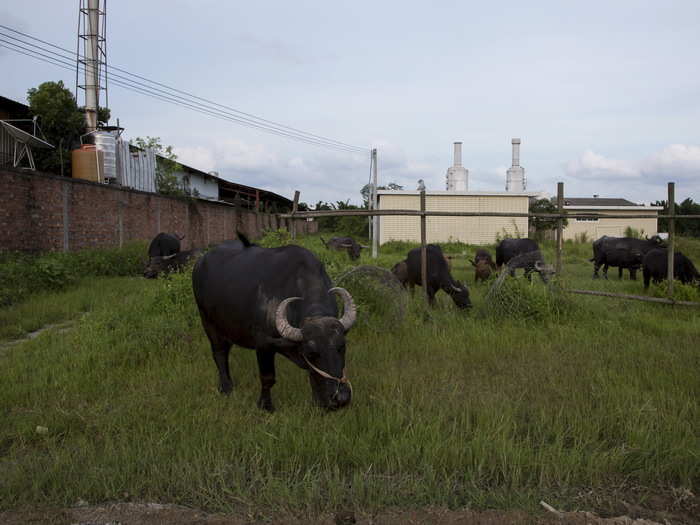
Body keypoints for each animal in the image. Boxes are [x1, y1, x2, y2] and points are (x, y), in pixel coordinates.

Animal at [191, 233, 356, 410]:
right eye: (311, 353)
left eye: (342, 347)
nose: (341, 398)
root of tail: (200, 263)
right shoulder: (263, 344)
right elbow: (268, 378)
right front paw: (265, 405)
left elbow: (312, 374)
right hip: (208, 323)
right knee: (219, 353)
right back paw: (226, 387)